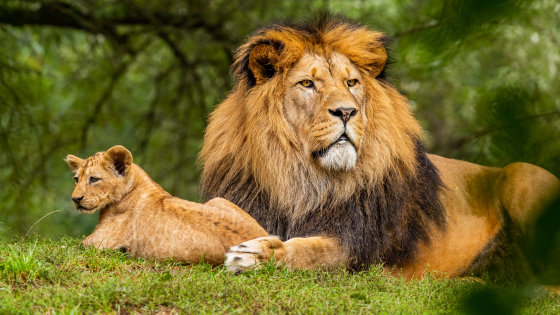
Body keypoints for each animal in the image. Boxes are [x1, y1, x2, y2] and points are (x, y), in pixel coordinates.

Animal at [199, 17, 556, 278]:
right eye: (307, 84)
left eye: (351, 83)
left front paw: (255, 255)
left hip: (520, 174)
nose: (346, 112)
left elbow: (311, 251)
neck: (302, 178)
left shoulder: (357, 245)